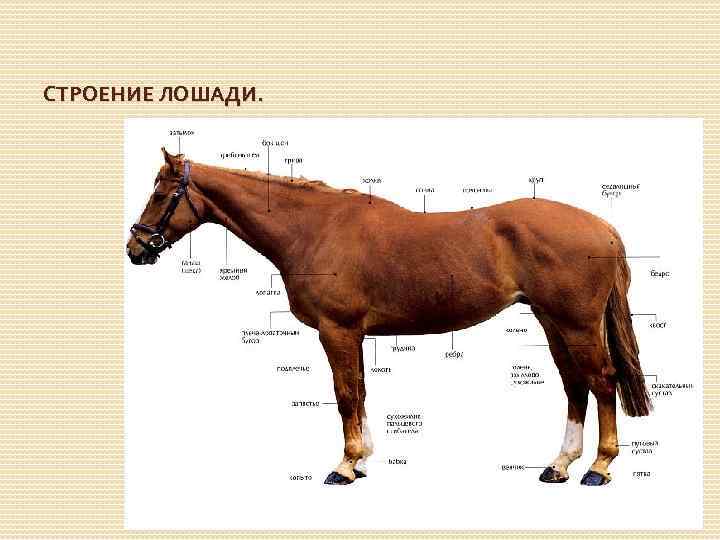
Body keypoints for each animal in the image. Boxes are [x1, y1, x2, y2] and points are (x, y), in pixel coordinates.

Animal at [127, 148, 651, 486]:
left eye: (162, 194)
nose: (135, 248)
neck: (313, 230)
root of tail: (602, 227)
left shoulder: (336, 331)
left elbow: (344, 395)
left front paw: (344, 466)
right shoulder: (354, 334)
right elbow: (360, 390)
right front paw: (362, 460)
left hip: (577, 324)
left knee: (602, 381)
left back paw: (598, 469)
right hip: (551, 320)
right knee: (575, 385)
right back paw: (558, 465)